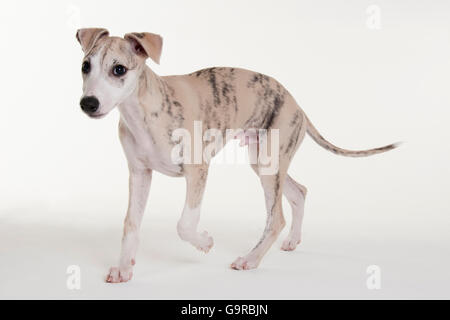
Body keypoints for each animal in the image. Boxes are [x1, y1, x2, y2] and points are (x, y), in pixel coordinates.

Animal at [75, 28, 400, 282]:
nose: (88, 103)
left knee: (276, 218)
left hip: (269, 165)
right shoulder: (139, 173)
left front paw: (205, 242)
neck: (143, 111)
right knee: (299, 192)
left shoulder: (198, 169)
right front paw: (123, 268)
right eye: (85, 66)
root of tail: (297, 104)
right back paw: (292, 241)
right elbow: (130, 223)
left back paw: (251, 259)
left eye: (119, 69)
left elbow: (184, 223)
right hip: (266, 162)